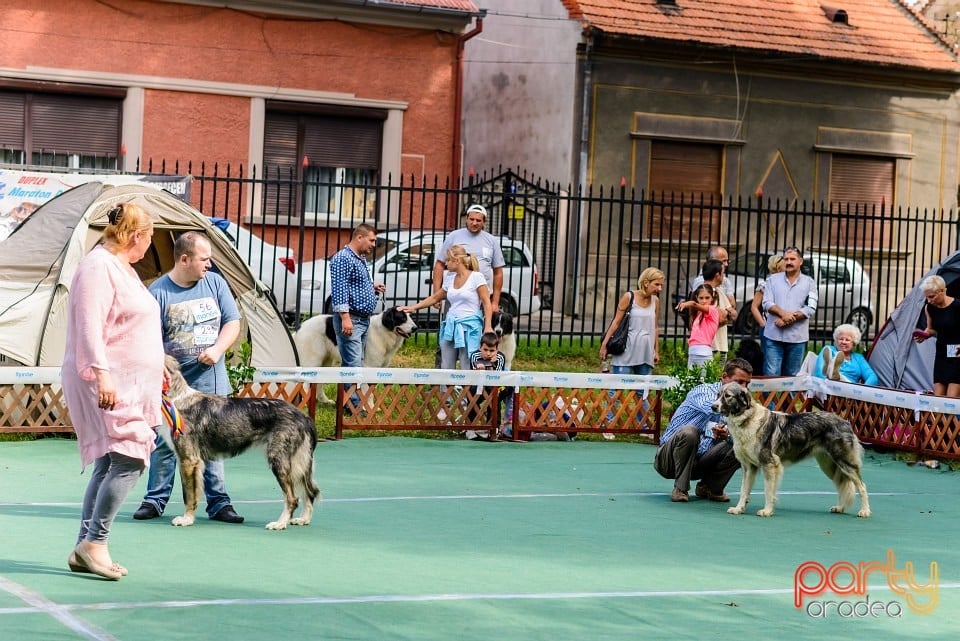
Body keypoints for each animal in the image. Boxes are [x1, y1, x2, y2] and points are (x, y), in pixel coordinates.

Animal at [162, 356, 318, 528]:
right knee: (310, 492)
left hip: (279, 460)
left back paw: (279, 524)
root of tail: (303, 416)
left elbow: (189, 494)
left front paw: (187, 519)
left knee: (293, 498)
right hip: (299, 463)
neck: (176, 399)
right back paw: (303, 519)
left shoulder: (188, 460)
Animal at [712, 382, 872, 516]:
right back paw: (840, 508)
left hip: (844, 462)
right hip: (829, 465)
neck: (747, 419)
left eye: (728, 396)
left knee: (862, 486)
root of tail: (846, 422)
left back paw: (864, 511)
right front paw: (739, 509)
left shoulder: (770, 464)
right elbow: (743, 491)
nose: (713, 406)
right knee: (843, 485)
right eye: (718, 394)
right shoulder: (748, 467)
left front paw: (767, 511)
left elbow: (768, 491)